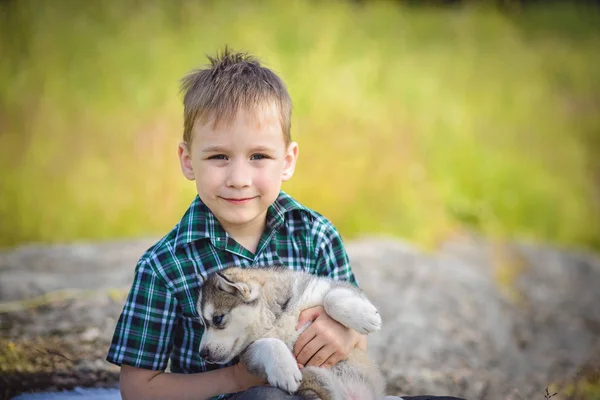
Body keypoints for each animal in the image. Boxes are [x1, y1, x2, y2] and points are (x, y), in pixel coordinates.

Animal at [197, 266, 384, 400]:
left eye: (218, 319)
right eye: (202, 323)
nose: (202, 353)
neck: (275, 320)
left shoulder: (320, 287)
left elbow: (332, 297)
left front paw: (365, 317)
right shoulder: (248, 356)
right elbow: (267, 344)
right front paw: (284, 370)